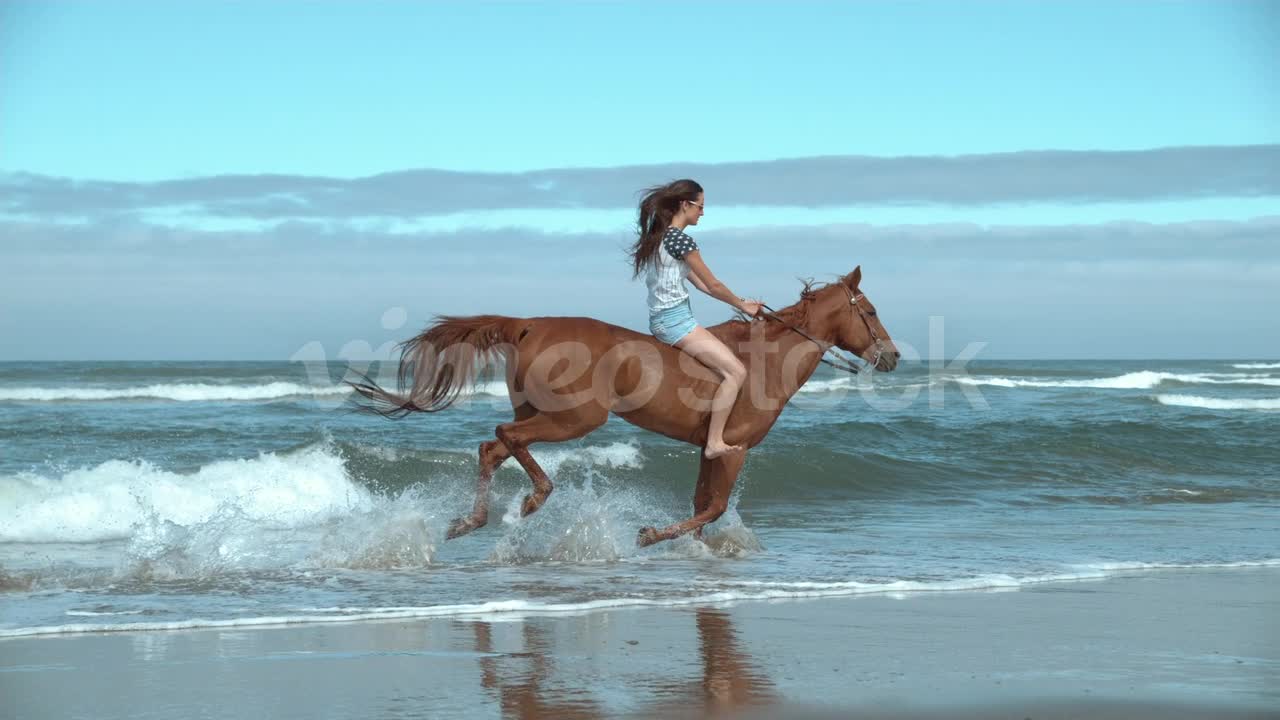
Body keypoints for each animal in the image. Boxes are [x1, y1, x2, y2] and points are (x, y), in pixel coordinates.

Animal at [345, 263, 896, 543]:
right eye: (869, 311)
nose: (890, 357)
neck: (765, 360)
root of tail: (528, 324)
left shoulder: (707, 450)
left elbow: (703, 505)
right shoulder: (731, 449)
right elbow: (714, 507)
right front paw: (652, 535)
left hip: (541, 412)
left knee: (492, 447)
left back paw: (471, 521)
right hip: (575, 417)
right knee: (506, 440)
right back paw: (534, 498)